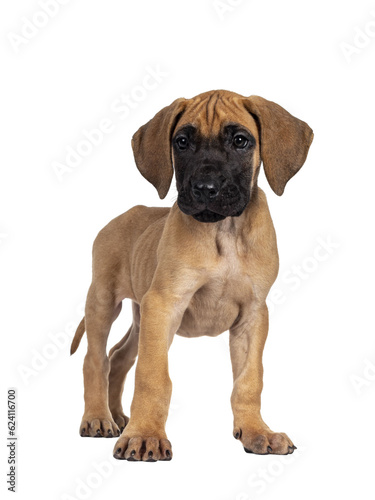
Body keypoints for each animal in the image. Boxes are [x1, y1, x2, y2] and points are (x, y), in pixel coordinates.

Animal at [70, 89, 314, 460]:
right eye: (182, 142)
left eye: (241, 141)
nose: (205, 188)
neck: (223, 232)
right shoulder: (164, 306)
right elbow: (153, 376)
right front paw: (146, 435)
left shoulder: (253, 316)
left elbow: (249, 380)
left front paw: (256, 431)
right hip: (103, 302)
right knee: (95, 359)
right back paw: (99, 417)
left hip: (141, 317)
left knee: (119, 356)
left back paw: (118, 416)